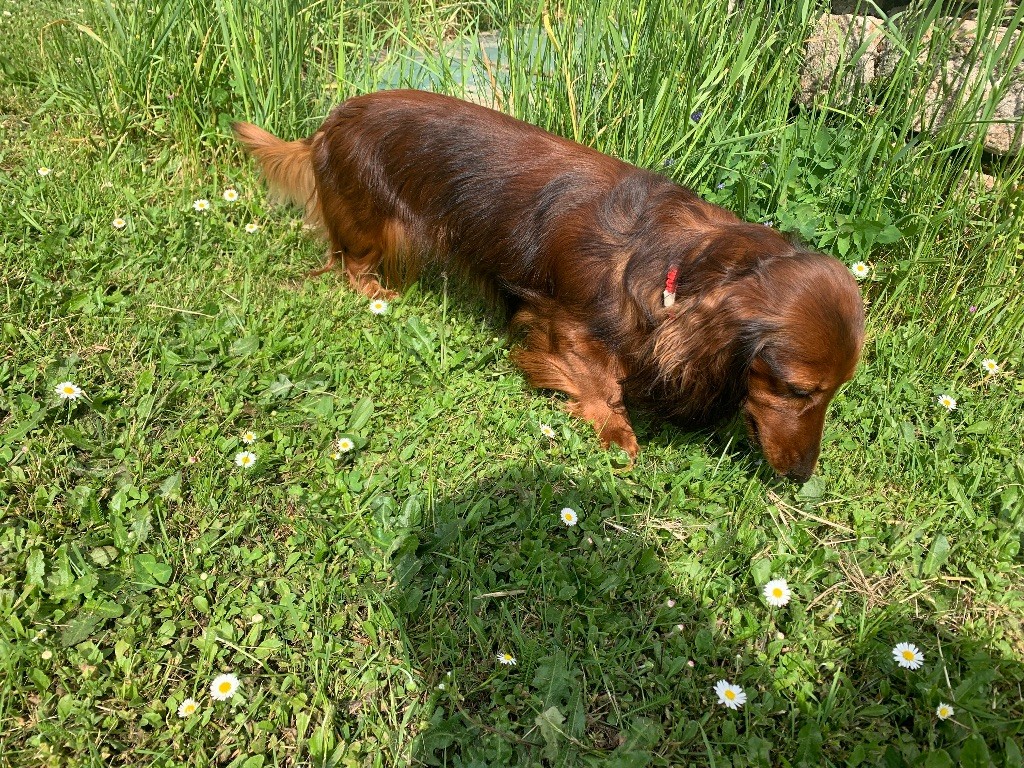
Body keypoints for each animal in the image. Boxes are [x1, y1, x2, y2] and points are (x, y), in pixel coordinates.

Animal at [234, 90, 864, 481]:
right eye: (798, 389)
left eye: (835, 391)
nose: (802, 476)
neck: (675, 262)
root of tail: (326, 128)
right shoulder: (563, 319)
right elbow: (599, 382)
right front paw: (618, 434)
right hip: (376, 226)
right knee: (350, 265)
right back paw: (377, 296)